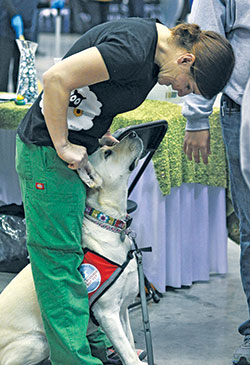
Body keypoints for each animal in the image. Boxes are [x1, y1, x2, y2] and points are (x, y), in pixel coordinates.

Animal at [0, 131, 146, 364]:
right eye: (107, 153)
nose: (133, 132)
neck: (107, 223)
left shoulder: (122, 310)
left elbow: (130, 345)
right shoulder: (108, 313)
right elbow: (129, 354)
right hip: (37, 342)